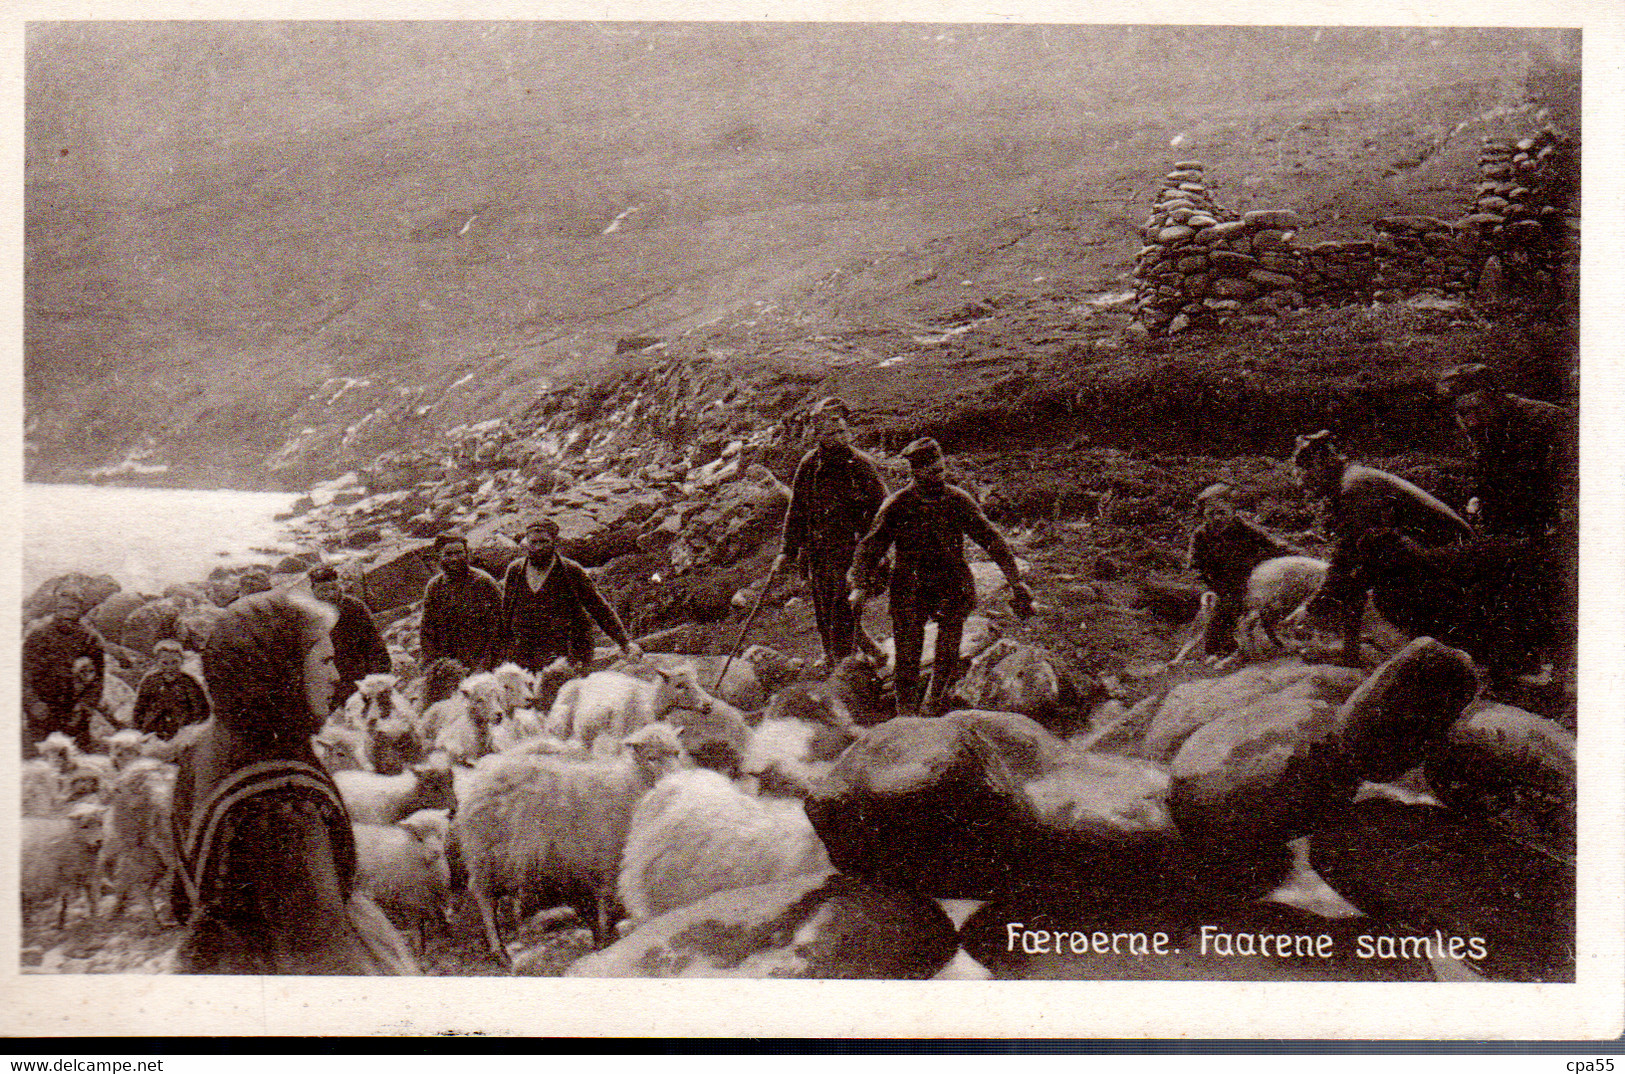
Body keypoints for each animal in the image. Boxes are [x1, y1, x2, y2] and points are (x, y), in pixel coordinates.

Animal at [451, 721, 685, 955]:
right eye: (651, 757)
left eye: (676, 752)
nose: (675, 780)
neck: (631, 783)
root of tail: (478, 778)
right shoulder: (607, 860)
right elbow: (608, 905)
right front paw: (606, 942)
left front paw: (601, 940)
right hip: (487, 853)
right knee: (483, 895)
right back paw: (499, 950)